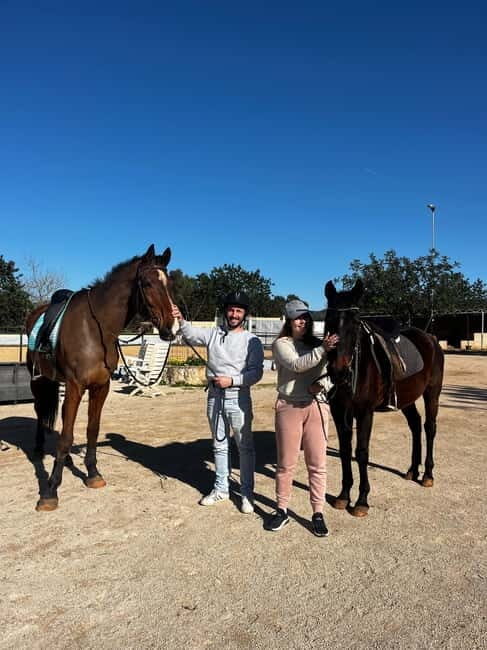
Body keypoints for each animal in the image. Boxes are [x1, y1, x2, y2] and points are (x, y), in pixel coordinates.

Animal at [25, 244, 177, 511]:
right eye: (147, 283)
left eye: (169, 283)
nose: (171, 328)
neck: (95, 329)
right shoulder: (75, 387)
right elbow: (66, 437)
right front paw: (50, 490)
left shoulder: (100, 387)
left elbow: (92, 430)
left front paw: (93, 473)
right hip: (38, 381)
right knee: (40, 411)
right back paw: (38, 450)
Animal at [324, 279, 444, 517]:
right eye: (328, 320)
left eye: (355, 322)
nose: (338, 371)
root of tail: (431, 339)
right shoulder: (339, 411)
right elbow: (344, 451)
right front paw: (343, 496)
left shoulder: (364, 412)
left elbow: (361, 452)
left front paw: (361, 501)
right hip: (407, 399)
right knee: (415, 425)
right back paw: (412, 470)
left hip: (432, 393)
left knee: (429, 427)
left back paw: (427, 475)